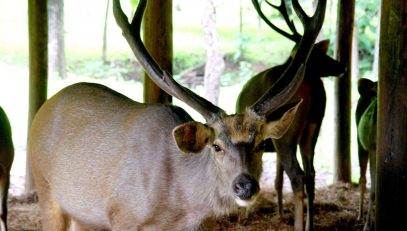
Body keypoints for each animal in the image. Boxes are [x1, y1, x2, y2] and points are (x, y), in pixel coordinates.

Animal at [27, 0, 326, 230]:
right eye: (216, 146)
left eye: (262, 144)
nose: (245, 186)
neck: (178, 209)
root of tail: (44, 107)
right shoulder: (122, 216)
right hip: (46, 190)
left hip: (83, 216)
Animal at [236, 0, 348, 230]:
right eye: (319, 54)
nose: (342, 65)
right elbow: (277, 180)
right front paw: (278, 214)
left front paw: (246, 214)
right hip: (313, 128)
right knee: (311, 173)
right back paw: (309, 224)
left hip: (288, 136)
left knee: (297, 175)